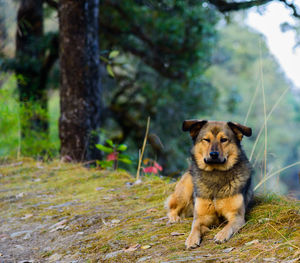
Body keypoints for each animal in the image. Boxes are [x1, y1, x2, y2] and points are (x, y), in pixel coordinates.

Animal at [166, 120, 253, 249]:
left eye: (224, 139)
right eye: (206, 139)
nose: (213, 154)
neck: (215, 172)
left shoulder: (237, 216)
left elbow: (229, 225)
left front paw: (222, 235)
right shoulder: (202, 216)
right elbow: (195, 226)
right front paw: (191, 239)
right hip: (185, 190)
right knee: (172, 207)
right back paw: (174, 218)